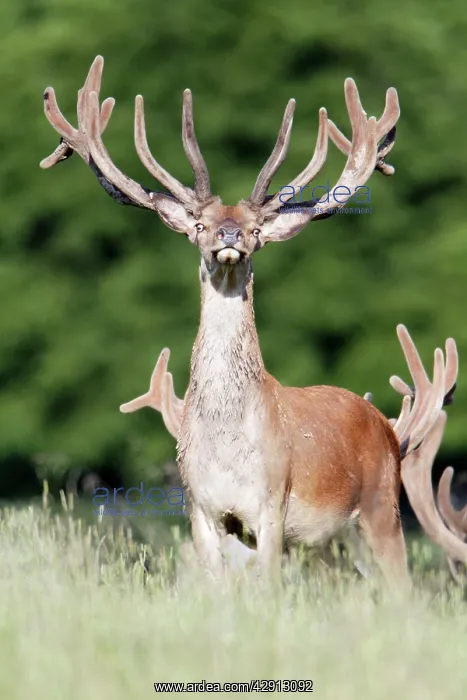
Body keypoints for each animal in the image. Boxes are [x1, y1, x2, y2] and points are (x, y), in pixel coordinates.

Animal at [40, 55, 461, 590]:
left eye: (257, 229)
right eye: (199, 224)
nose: (229, 235)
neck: (226, 444)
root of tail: (388, 428)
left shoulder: (271, 502)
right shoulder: (201, 508)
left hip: (381, 506)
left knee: (402, 587)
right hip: (337, 543)